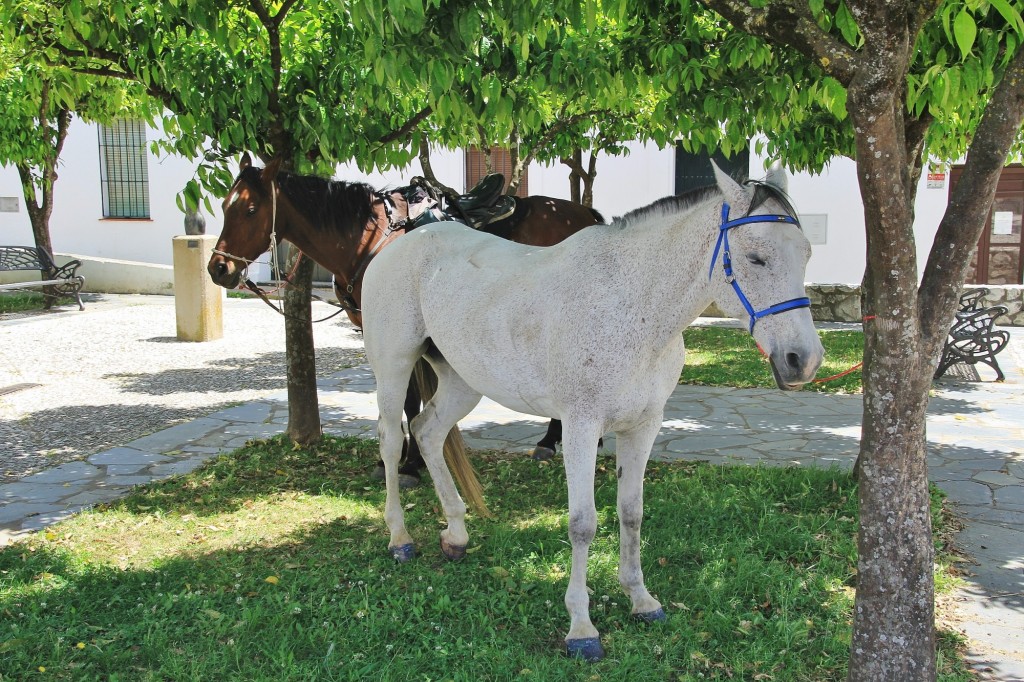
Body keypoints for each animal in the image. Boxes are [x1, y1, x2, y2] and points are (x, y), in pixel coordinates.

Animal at [210, 153, 602, 483]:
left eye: (250, 209)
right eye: (225, 205)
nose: (218, 268)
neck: (368, 242)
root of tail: (585, 216)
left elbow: (410, 399)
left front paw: (410, 464)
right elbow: (396, 398)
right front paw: (392, 460)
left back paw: (553, 440)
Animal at [360, 164, 823, 659]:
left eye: (807, 254)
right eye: (755, 258)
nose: (804, 360)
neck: (632, 307)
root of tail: (398, 247)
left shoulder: (643, 426)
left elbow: (631, 512)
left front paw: (641, 599)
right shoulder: (581, 426)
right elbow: (583, 524)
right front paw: (581, 628)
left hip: (463, 382)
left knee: (428, 431)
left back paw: (456, 536)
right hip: (394, 368)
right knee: (393, 441)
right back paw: (400, 539)